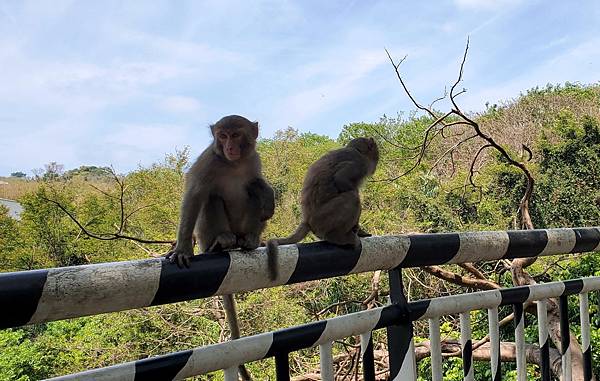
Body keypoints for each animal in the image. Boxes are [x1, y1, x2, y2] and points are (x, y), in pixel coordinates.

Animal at [165, 114, 276, 378]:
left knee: (252, 192)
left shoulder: (254, 159)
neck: (234, 164)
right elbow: (194, 195)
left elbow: (257, 182)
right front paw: (182, 248)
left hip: (243, 227)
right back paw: (220, 243)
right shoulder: (208, 161)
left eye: (235, 135)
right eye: (222, 136)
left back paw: (250, 240)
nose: (229, 148)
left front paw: (268, 194)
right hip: (207, 235)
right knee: (210, 197)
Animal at [266, 137, 378, 280]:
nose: (376, 164)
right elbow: (341, 179)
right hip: (322, 219)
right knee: (352, 197)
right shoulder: (359, 164)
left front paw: (359, 230)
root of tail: (307, 220)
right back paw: (339, 237)